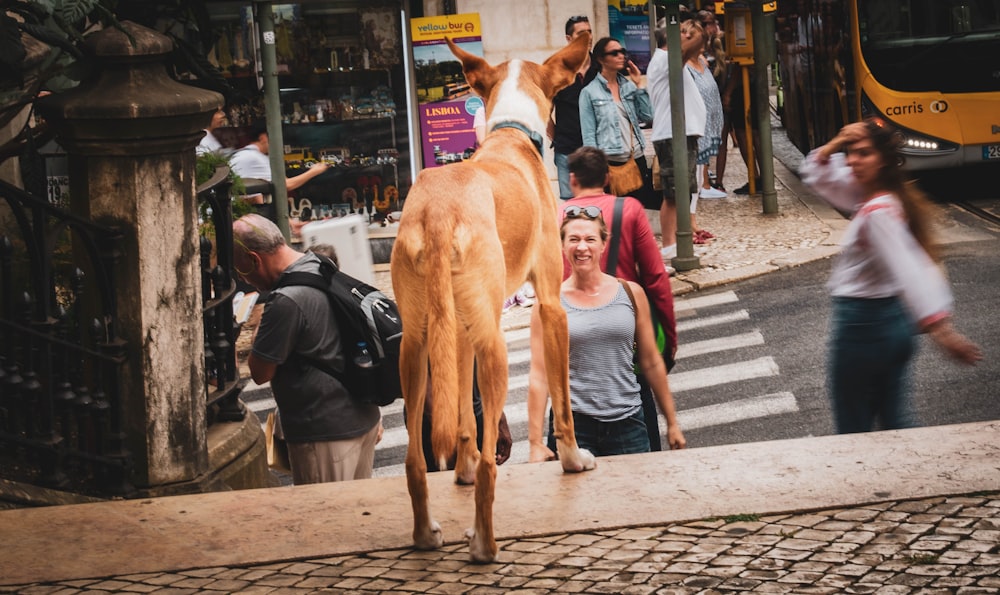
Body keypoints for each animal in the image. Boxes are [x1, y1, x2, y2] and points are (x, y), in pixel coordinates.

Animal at [388, 37, 592, 564]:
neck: (510, 134)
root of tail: (438, 211)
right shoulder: (551, 307)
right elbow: (562, 404)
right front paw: (572, 459)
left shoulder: (459, 332)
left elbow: (462, 418)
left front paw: (459, 468)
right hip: (496, 348)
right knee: (489, 467)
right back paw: (484, 545)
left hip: (417, 347)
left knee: (414, 461)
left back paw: (425, 534)